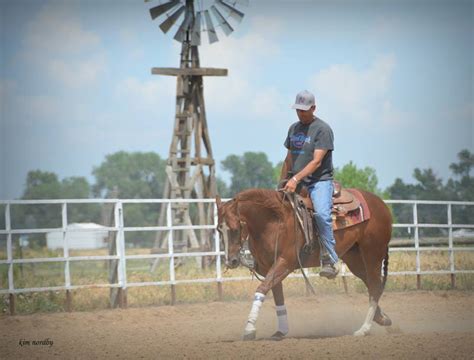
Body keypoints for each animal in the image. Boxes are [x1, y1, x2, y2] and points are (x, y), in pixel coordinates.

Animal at [216, 188, 392, 340]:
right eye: (219, 229)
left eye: (234, 229)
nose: (231, 261)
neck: (273, 222)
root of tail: (380, 204)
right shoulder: (268, 268)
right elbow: (278, 297)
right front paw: (281, 331)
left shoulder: (284, 263)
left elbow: (261, 289)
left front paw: (249, 328)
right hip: (354, 258)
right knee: (371, 284)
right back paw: (383, 319)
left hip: (372, 253)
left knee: (375, 285)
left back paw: (364, 329)